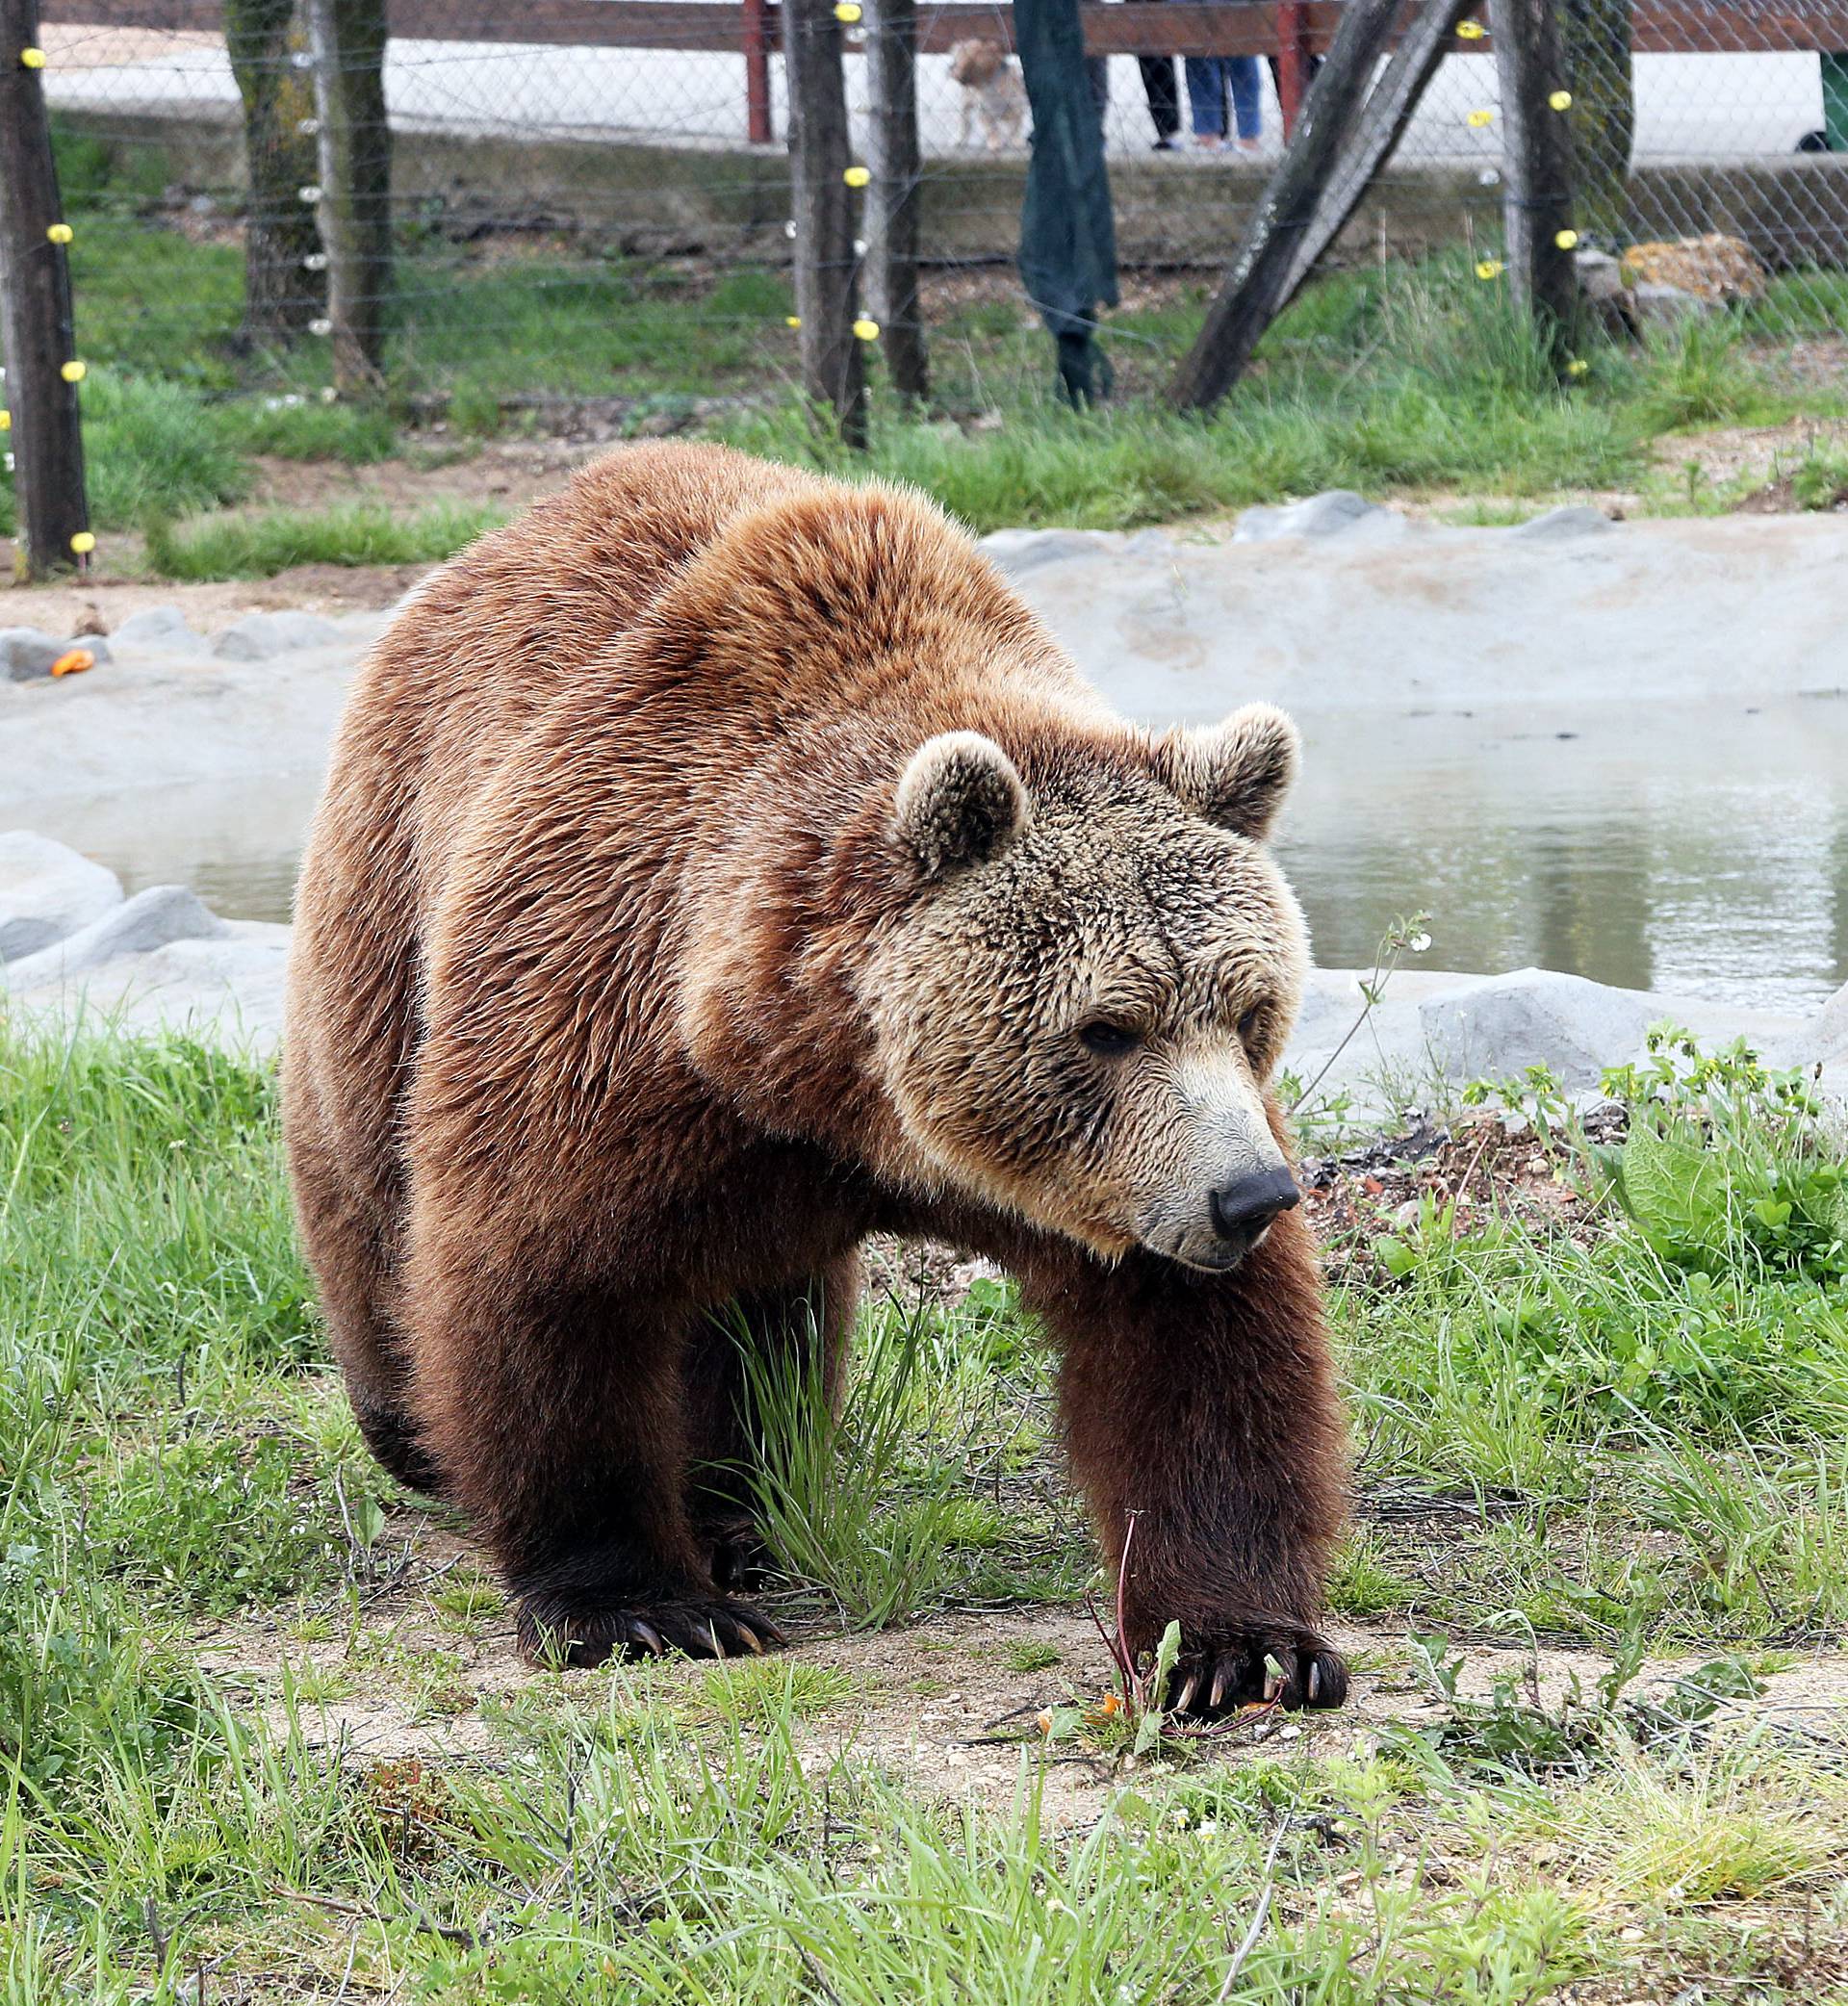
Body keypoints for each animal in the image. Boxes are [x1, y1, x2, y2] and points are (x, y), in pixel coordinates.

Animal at [289, 447, 1348, 1716]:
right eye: (1107, 1025)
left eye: (1251, 1006)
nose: (1251, 1196)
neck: (823, 1081)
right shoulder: (597, 1011)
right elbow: (547, 1280)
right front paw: (641, 1606)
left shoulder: (1114, 1178)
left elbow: (1198, 1354)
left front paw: (1241, 1646)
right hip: (390, 902)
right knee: (370, 1187)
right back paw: (420, 1426)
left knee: (759, 1321)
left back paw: (743, 1508)